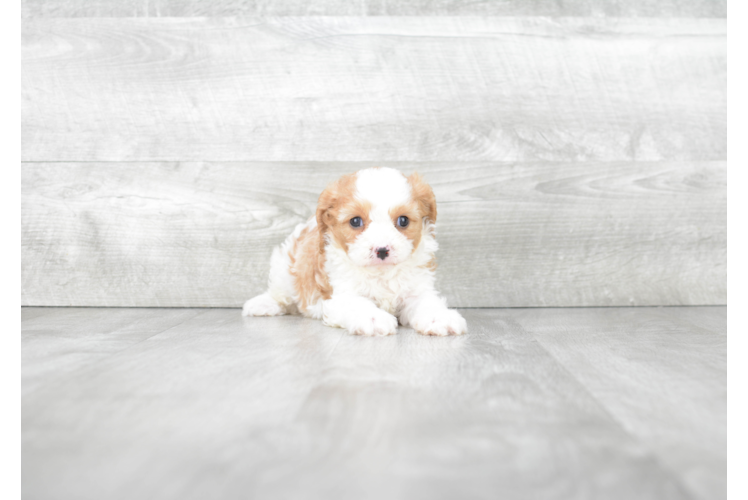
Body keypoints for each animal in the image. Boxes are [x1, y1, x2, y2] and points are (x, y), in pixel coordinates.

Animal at [243, 167, 468, 336]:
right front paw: (373, 318)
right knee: (281, 294)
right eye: (355, 221)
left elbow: (426, 302)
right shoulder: (340, 294)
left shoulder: (416, 289)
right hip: (284, 267)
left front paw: (439, 317)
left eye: (403, 220)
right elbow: (356, 303)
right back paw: (262, 304)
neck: (381, 273)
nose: (382, 250)